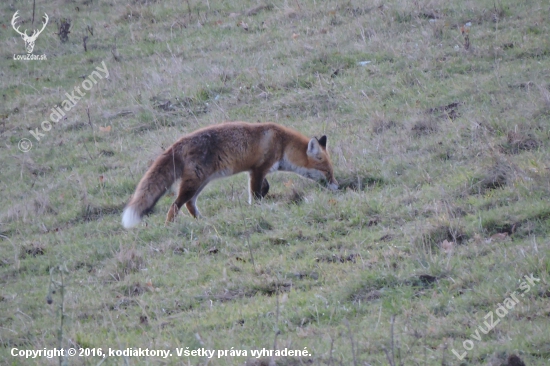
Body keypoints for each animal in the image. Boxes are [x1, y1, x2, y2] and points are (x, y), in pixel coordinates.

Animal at [122, 121, 338, 227]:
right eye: (327, 171)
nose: (337, 186)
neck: (282, 143)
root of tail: (179, 142)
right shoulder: (258, 169)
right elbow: (255, 194)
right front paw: (257, 209)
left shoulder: (257, 170)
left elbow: (265, 187)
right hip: (193, 183)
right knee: (174, 206)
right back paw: (170, 227)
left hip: (201, 182)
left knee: (190, 204)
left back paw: (201, 220)